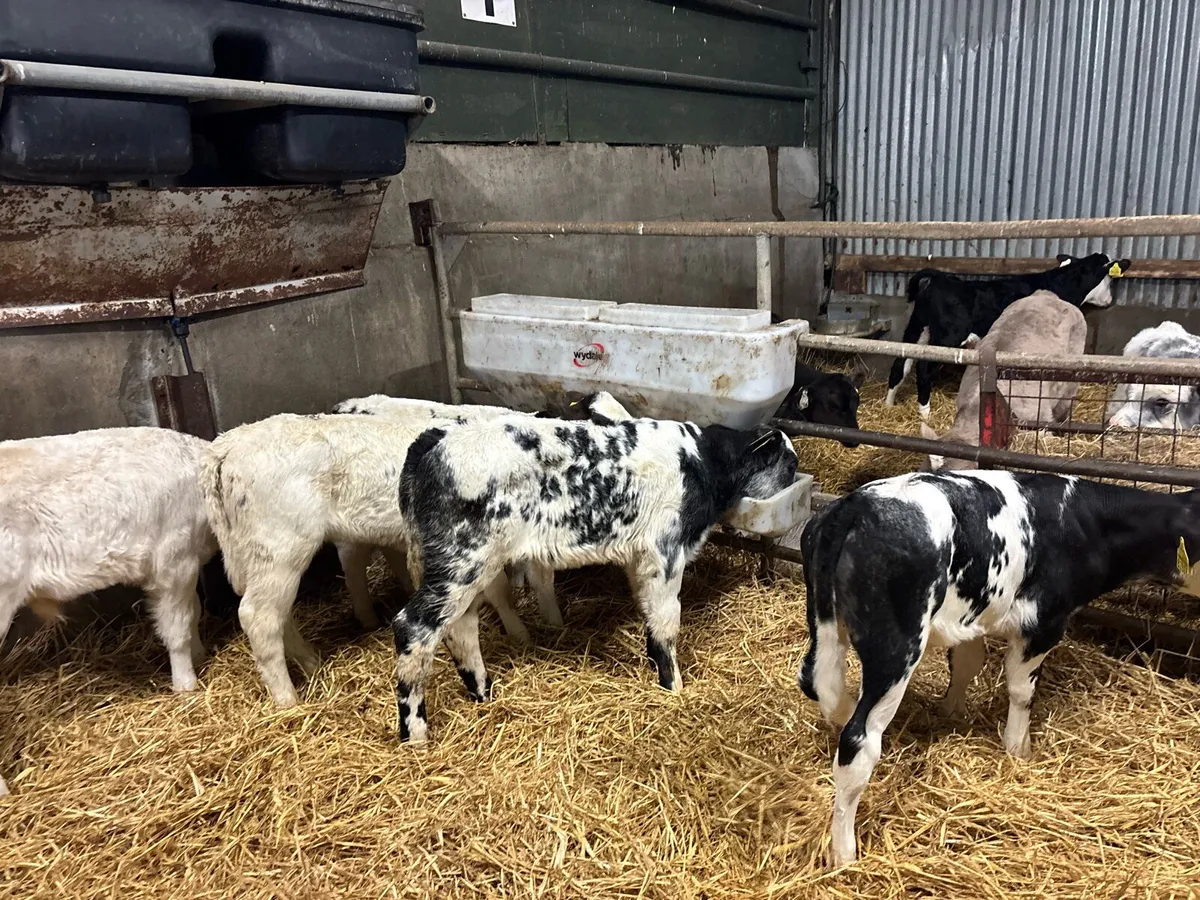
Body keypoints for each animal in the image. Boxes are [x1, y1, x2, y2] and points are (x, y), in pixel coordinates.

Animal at [391, 415, 798, 742]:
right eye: (790, 465)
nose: (795, 480)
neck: (701, 462)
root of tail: (432, 441)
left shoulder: (639, 558)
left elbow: (649, 615)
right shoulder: (665, 551)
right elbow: (667, 622)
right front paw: (674, 686)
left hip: (464, 568)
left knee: (461, 628)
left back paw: (482, 692)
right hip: (462, 562)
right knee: (414, 628)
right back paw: (415, 733)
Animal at [798, 470, 1200, 865]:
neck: (1086, 522)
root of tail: (855, 505)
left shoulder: (974, 613)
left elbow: (966, 664)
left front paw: (951, 713)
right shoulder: (1040, 622)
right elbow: (1022, 692)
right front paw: (1018, 748)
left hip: (825, 621)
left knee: (820, 684)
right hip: (897, 646)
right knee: (858, 742)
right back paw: (845, 853)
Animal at [886, 253, 1130, 420]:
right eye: (1109, 278)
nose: (1109, 301)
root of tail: (938, 278)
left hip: (917, 330)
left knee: (900, 364)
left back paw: (888, 403)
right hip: (947, 337)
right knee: (923, 369)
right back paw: (925, 413)